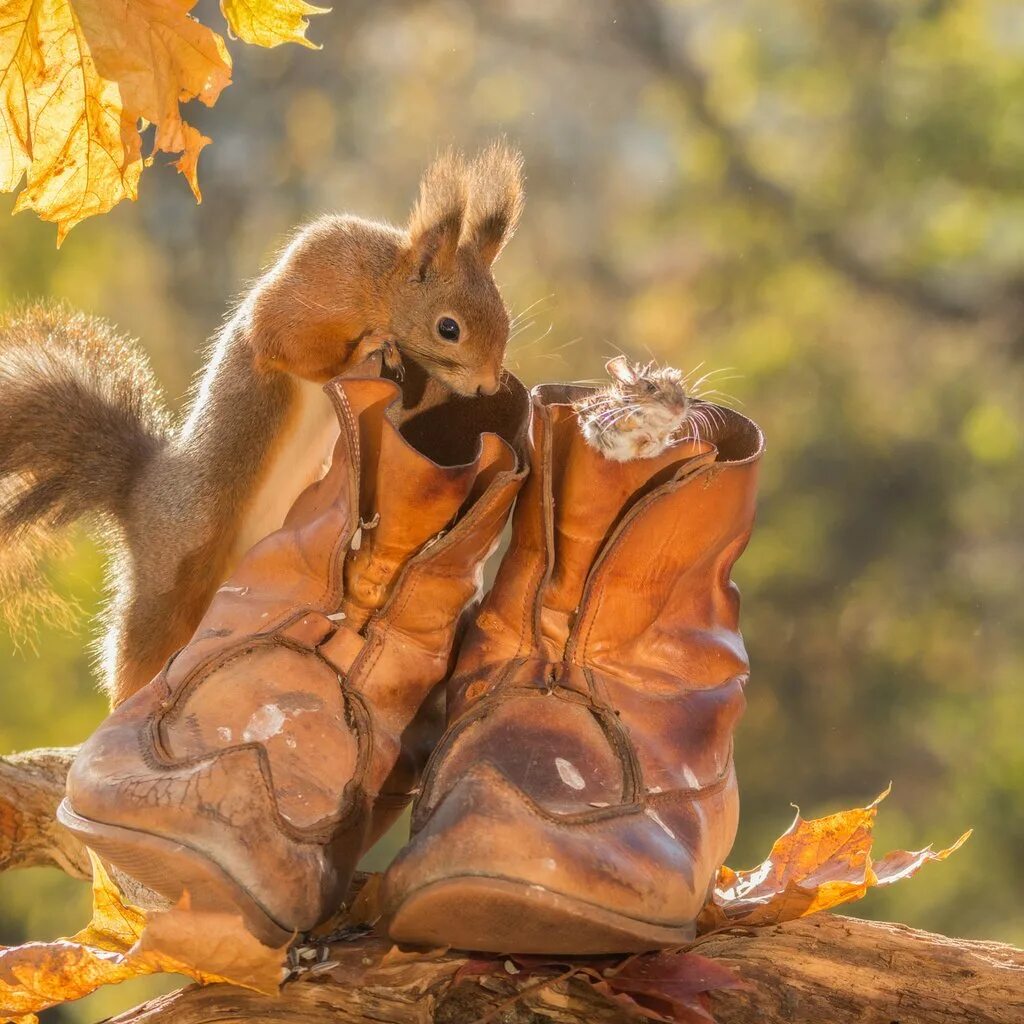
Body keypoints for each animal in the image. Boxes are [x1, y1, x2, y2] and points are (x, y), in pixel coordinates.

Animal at [0, 142, 524, 704]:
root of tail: (139, 494)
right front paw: (372, 344)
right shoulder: (313, 290)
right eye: (448, 328)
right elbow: (286, 342)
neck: (379, 284)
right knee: (139, 650)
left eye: (504, 318)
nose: (487, 387)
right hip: (174, 572)